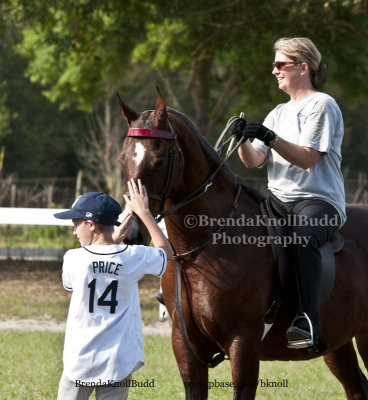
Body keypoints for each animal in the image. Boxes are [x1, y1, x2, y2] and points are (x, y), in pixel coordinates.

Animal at [117, 90, 368, 400]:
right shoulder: (186, 349)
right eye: (122, 159)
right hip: (336, 342)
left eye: (160, 160)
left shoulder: (243, 344)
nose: (130, 233)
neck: (203, 248)